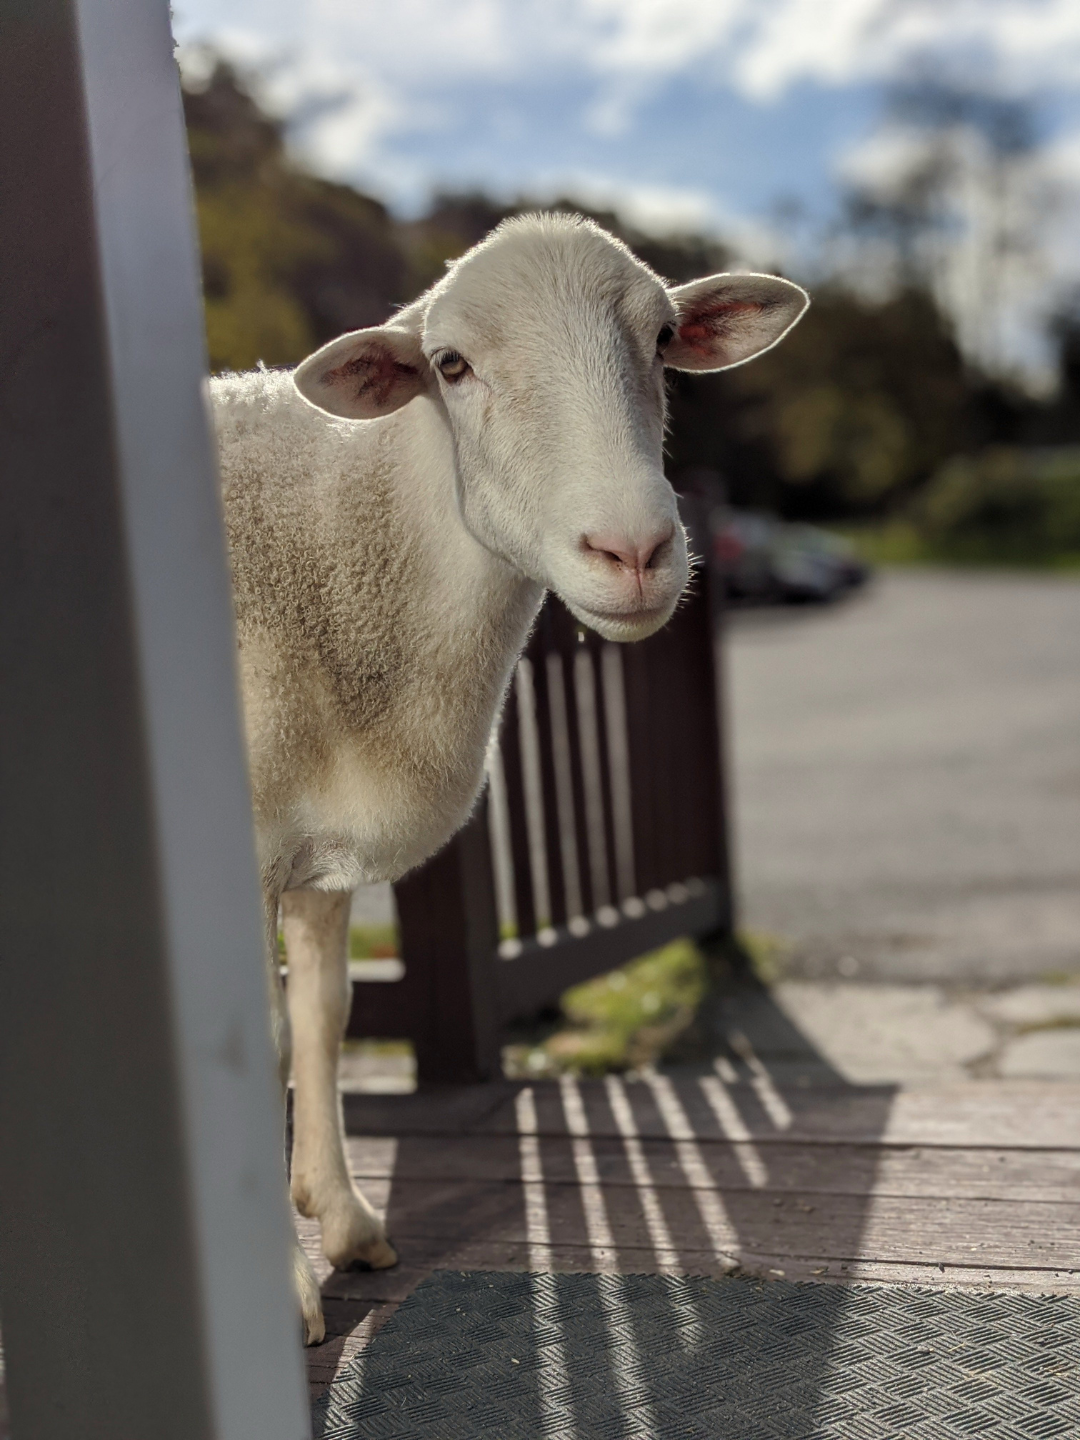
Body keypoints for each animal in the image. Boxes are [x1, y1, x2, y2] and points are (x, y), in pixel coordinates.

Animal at [210, 212, 808, 1344]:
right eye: (449, 365)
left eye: (665, 339)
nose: (635, 550)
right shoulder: (241, 839)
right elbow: (253, 1043)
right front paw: (281, 1290)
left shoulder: (318, 847)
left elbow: (324, 1017)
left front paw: (344, 1219)